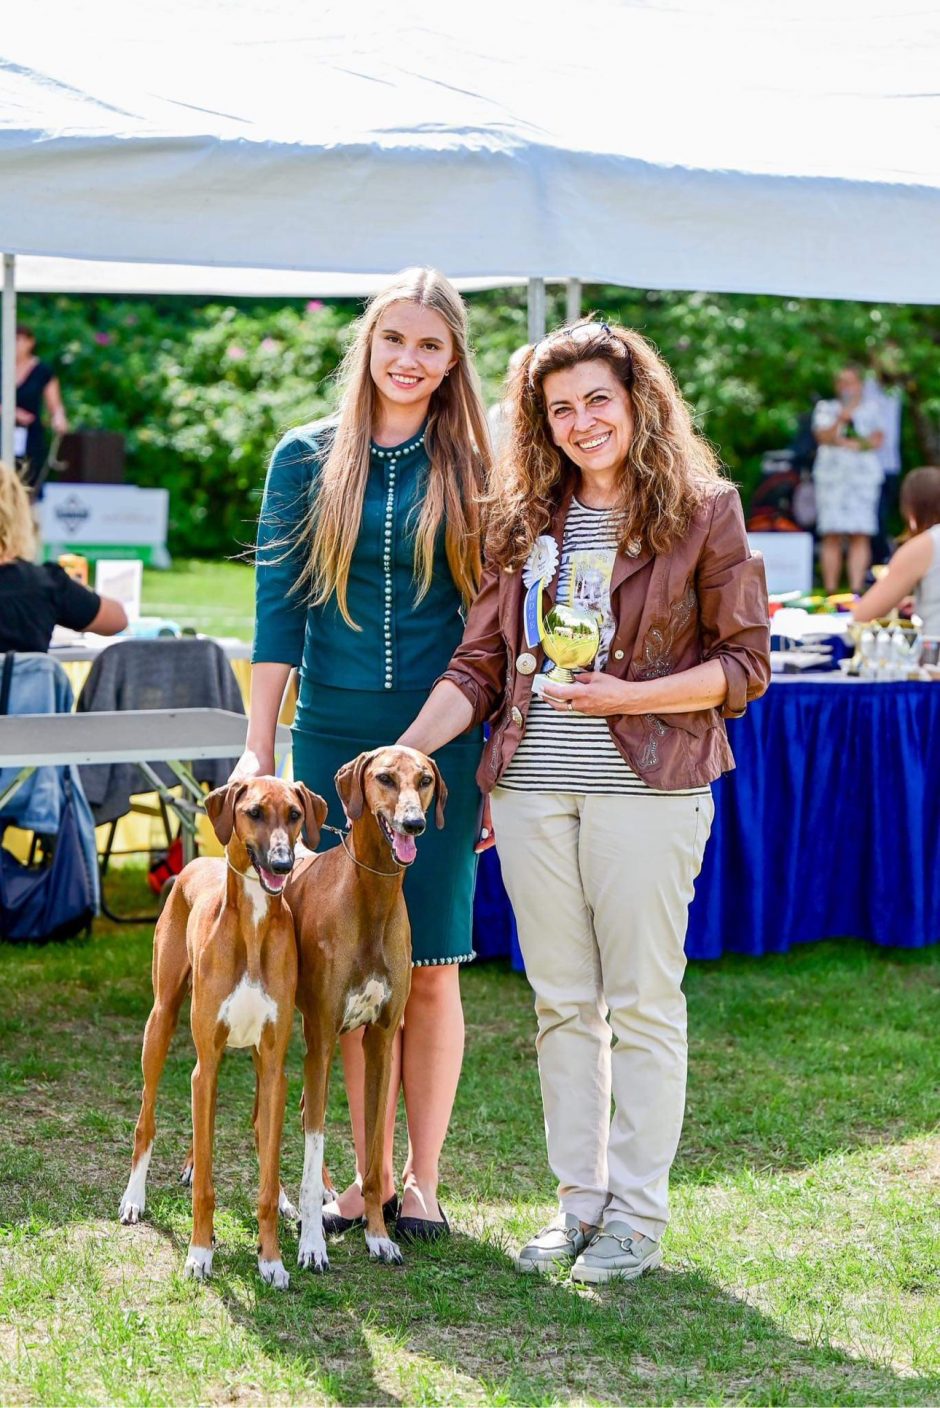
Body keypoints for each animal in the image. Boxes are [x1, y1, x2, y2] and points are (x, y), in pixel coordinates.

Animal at [119, 777, 329, 1289]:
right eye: (253, 812)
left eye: (295, 814)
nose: (283, 864)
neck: (251, 924)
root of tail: (196, 861)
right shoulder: (206, 1063)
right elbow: (206, 1185)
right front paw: (199, 1253)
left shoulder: (273, 1064)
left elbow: (267, 1175)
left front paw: (271, 1259)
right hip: (160, 1024)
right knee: (146, 1120)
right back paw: (134, 1198)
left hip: (251, 1056)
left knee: (255, 1130)